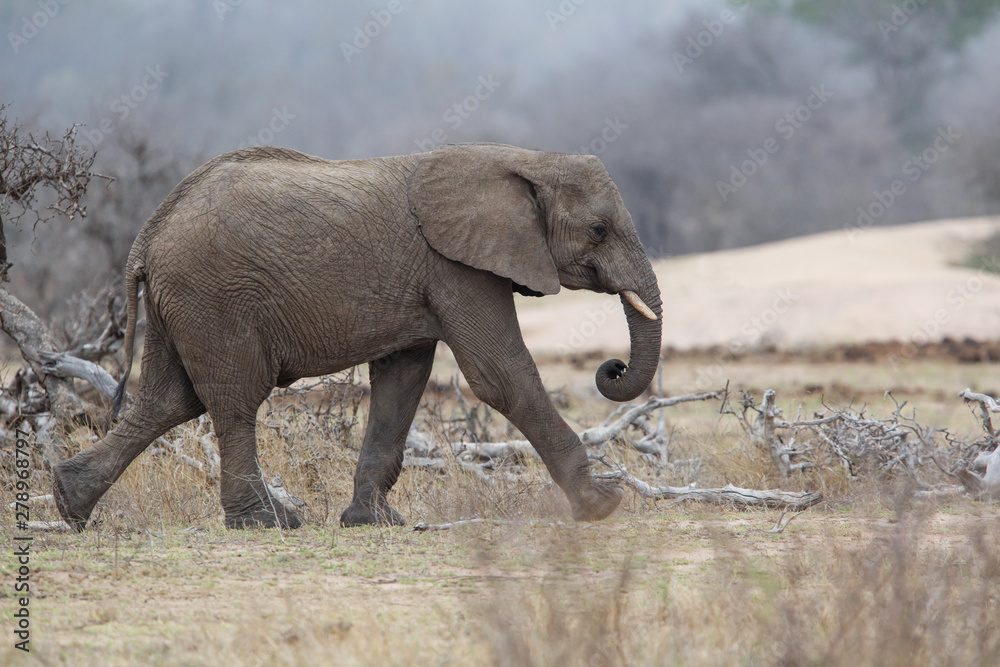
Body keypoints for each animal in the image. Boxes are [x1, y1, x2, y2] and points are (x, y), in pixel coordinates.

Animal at [51, 142, 662, 530]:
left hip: (179, 303)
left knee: (167, 401)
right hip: (215, 298)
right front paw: (603, 503)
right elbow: (500, 375)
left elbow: (402, 381)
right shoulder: (457, 268)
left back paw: (69, 503)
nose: (611, 368)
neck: (523, 160)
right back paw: (267, 523)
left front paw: (373, 522)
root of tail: (147, 234)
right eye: (599, 230)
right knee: (232, 400)